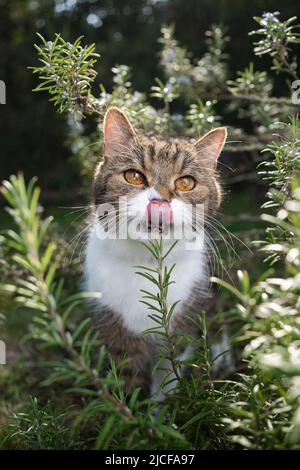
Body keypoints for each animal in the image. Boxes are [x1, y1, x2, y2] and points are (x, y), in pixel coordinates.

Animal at [83, 106, 226, 400]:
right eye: (134, 176)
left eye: (186, 183)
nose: (160, 200)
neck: (147, 262)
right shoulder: (114, 326)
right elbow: (126, 377)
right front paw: (130, 410)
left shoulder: (181, 319)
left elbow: (167, 374)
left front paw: (164, 407)